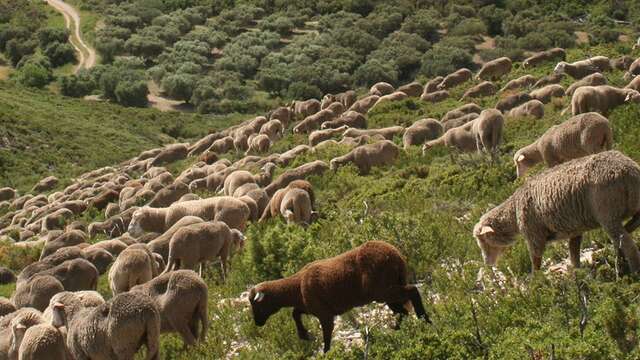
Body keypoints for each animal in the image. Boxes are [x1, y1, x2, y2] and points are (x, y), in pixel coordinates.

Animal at [249, 240, 430, 352]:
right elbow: (295, 313)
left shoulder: (324, 314)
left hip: (384, 289)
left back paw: (425, 321)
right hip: (388, 292)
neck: (297, 287)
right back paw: (398, 329)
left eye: (257, 305)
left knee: (413, 292)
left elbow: (327, 334)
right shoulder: (312, 307)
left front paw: (325, 351)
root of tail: (396, 255)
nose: (257, 323)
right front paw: (305, 335)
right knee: (403, 311)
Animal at [476, 150, 640, 274]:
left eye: (483, 240)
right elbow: (573, 252)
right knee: (631, 226)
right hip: (631, 206)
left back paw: (633, 272)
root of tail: (628, 171)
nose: (487, 263)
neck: (514, 212)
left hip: (607, 214)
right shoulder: (574, 228)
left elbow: (535, 261)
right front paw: (577, 273)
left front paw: (535, 282)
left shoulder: (534, 235)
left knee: (627, 244)